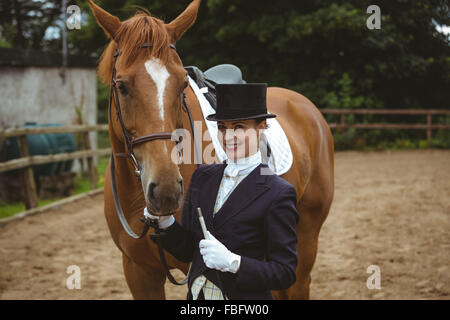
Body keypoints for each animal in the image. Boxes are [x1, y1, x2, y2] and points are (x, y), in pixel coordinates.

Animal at [88, 0, 334, 300]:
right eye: (121, 86)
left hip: (305, 241)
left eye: (182, 83)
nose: (166, 190)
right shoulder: (138, 273)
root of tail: (305, 105)